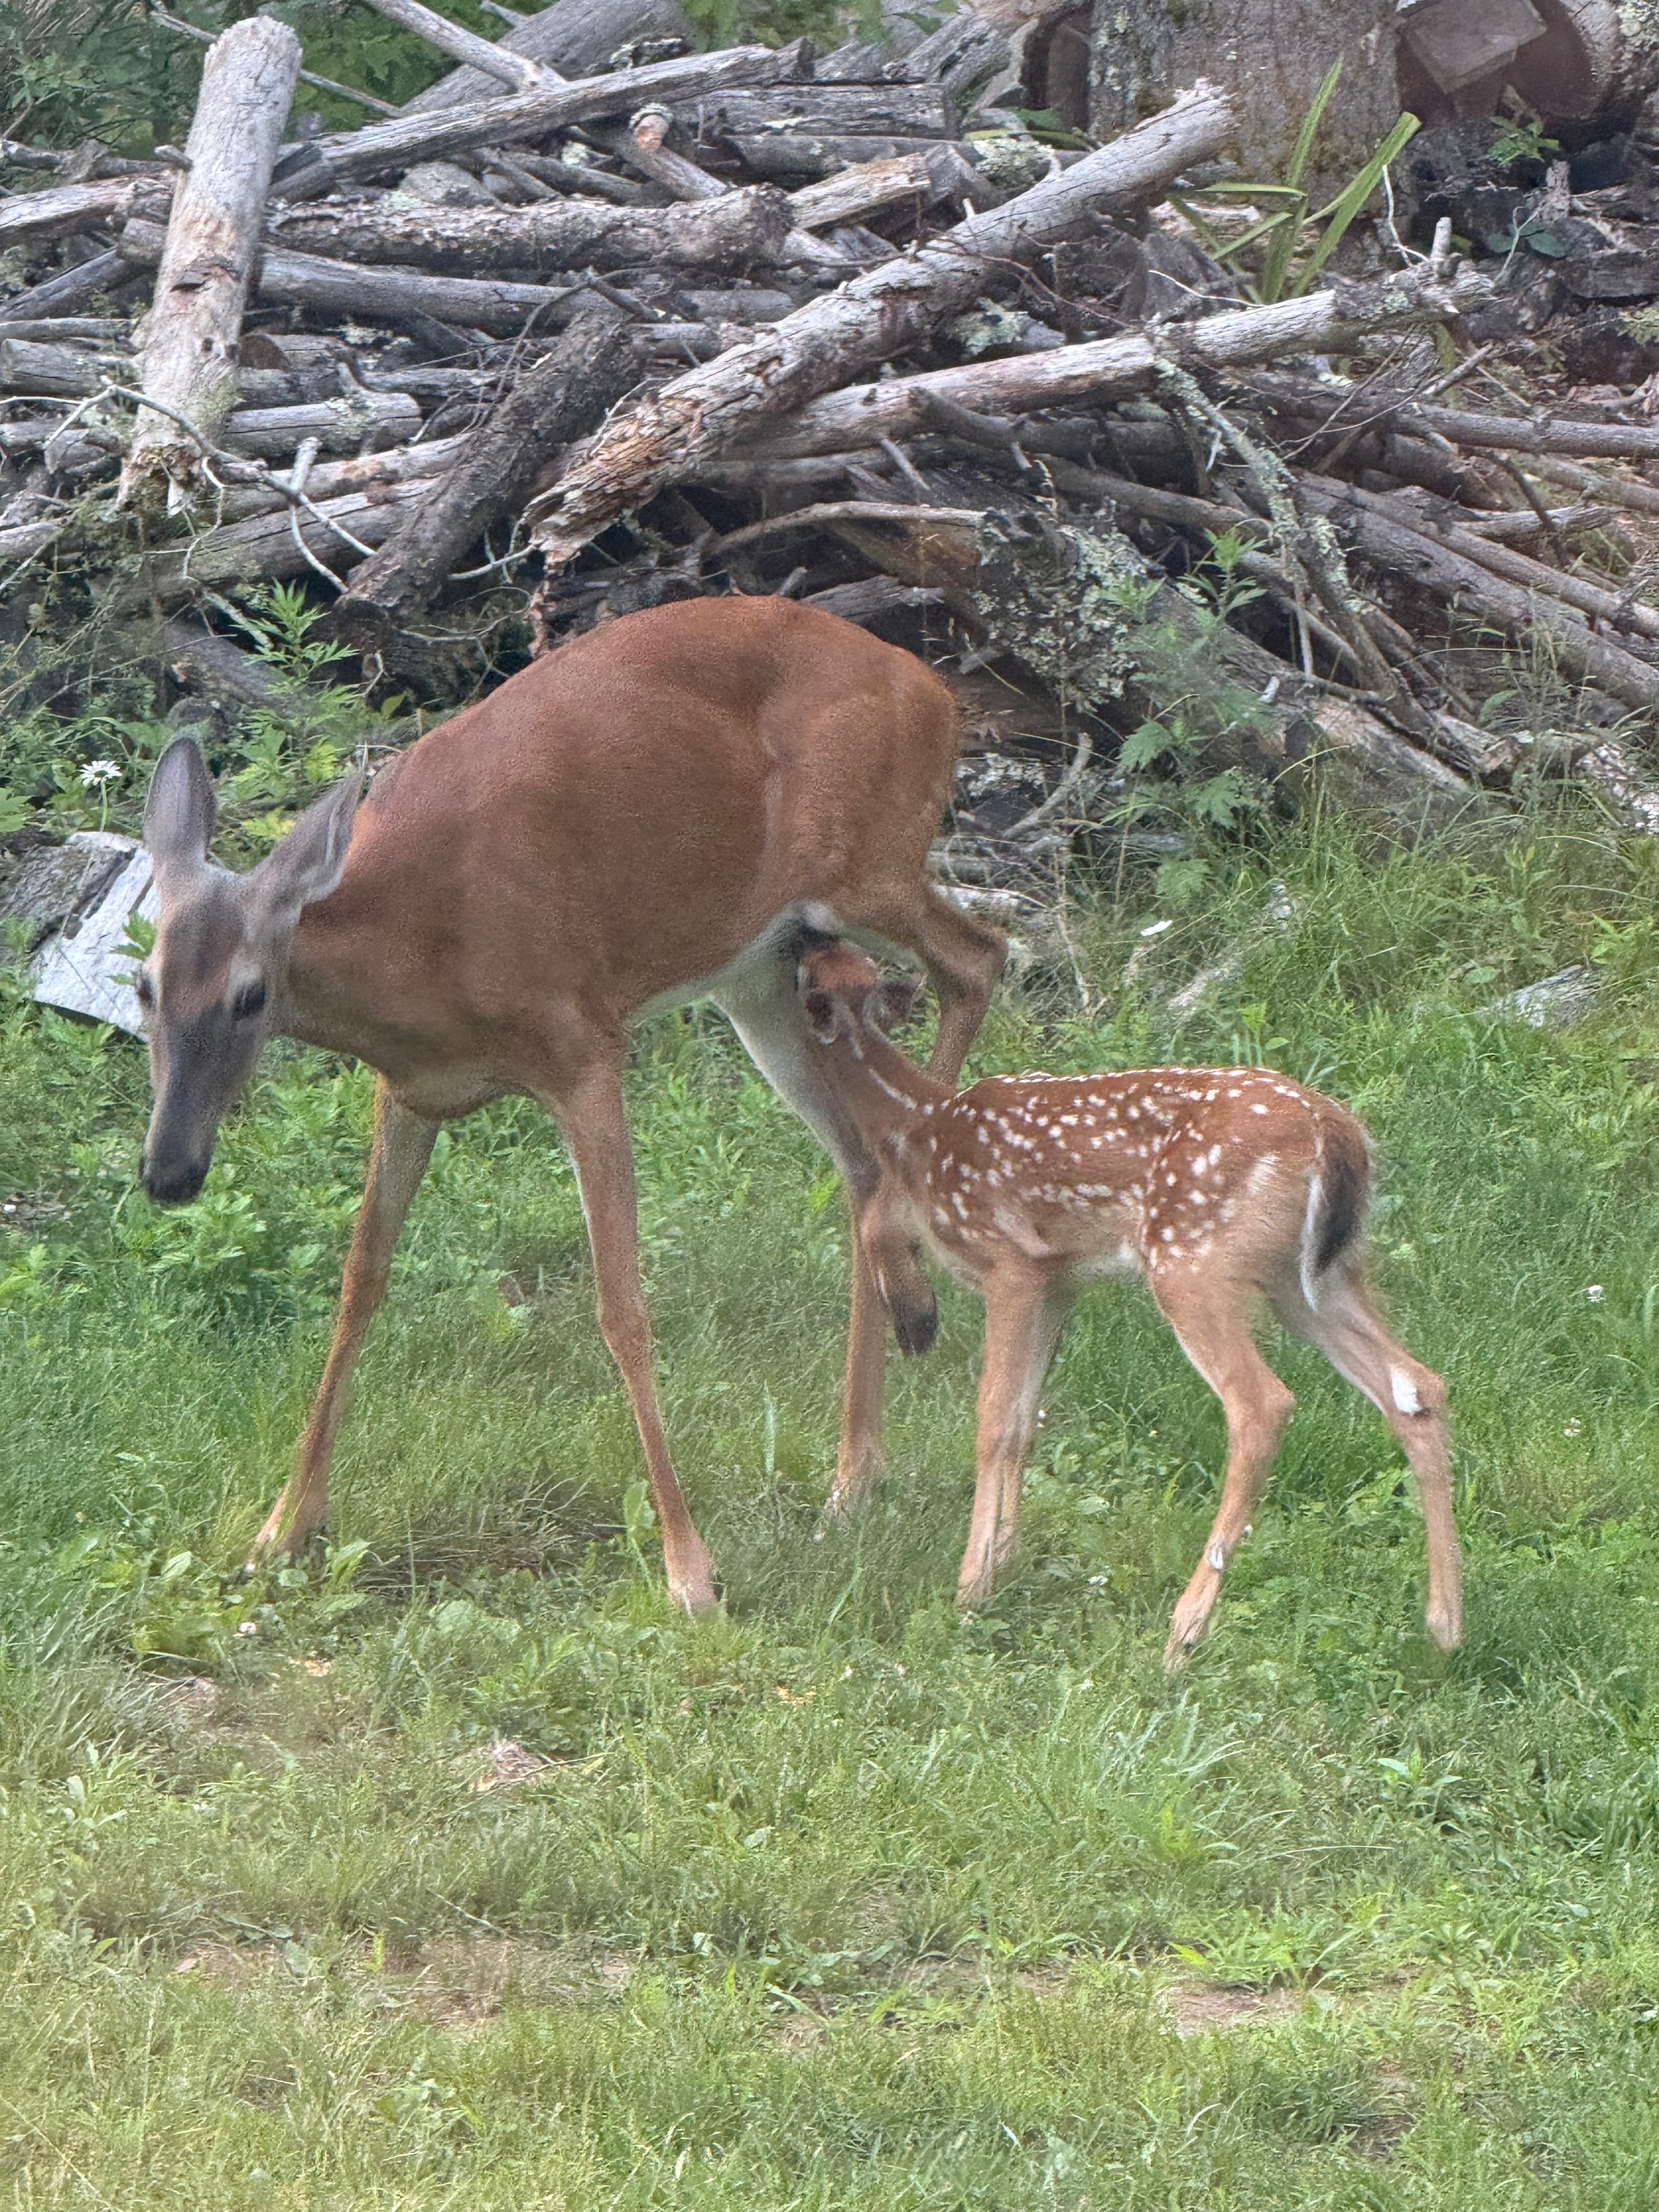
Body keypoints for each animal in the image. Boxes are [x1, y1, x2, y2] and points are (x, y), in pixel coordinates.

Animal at [135, 596, 1006, 1614]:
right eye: (144, 985)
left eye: (250, 997)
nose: (168, 1172)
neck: (423, 955)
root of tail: (934, 688)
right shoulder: (411, 1092)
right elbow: (359, 1285)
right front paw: (281, 1530)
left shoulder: (584, 1046)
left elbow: (620, 1307)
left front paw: (690, 1571)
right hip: (759, 970)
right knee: (861, 1154)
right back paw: (855, 1471)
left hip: (870, 865)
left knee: (979, 958)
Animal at [795, 936, 1463, 1668]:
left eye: (809, 977)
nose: (804, 940)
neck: (918, 1129)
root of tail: (1336, 1134)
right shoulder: (1058, 1279)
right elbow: (1025, 1421)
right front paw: (1005, 1565)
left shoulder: (1009, 1262)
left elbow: (993, 1417)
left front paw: (971, 1587)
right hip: (1312, 1279)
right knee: (1416, 1387)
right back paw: (1445, 1628)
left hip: (1190, 1261)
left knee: (1262, 1404)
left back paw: (1184, 1632)